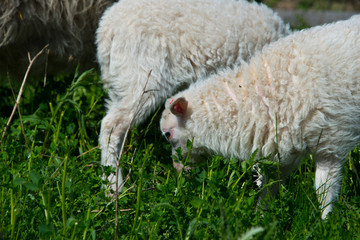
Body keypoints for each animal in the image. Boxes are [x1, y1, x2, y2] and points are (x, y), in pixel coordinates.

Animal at [162, 15, 360, 219]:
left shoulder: (331, 142)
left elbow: (324, 189)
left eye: (168, 134)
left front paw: (325, 220)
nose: (178, 169)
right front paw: (259, 216)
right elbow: (269, 187)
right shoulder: (283, 146)